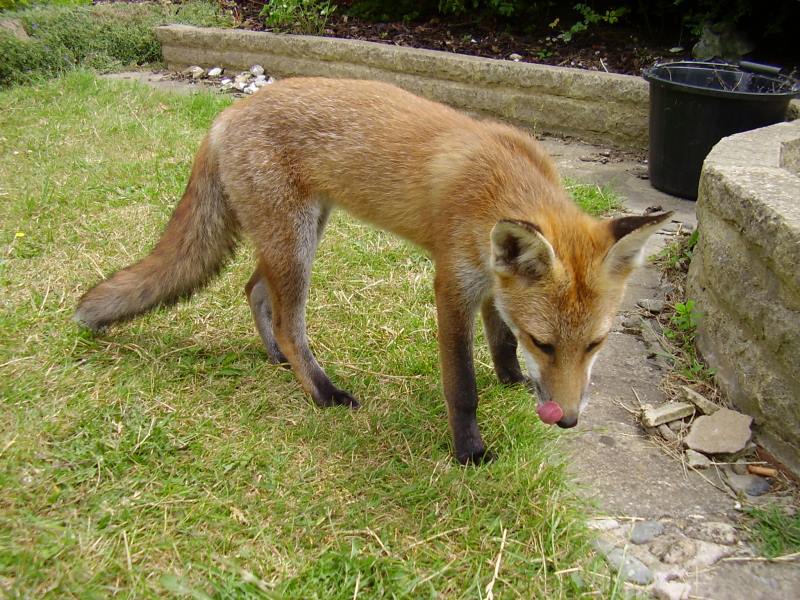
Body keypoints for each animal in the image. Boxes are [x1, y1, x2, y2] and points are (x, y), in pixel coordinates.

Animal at [78, 77, 672, 464]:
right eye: (545, 343)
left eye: (594, 345)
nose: (567, 419)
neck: (501, 181)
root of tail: (227, 115)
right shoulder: (451, 285)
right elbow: (462, 385)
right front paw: (469, 450)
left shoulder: (491, 280)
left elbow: (499, 340)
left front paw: (510, 380)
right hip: (296, 245)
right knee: (290, 323)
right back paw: (321, 391)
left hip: (297, 235)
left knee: (254, 290)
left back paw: (275, 357)